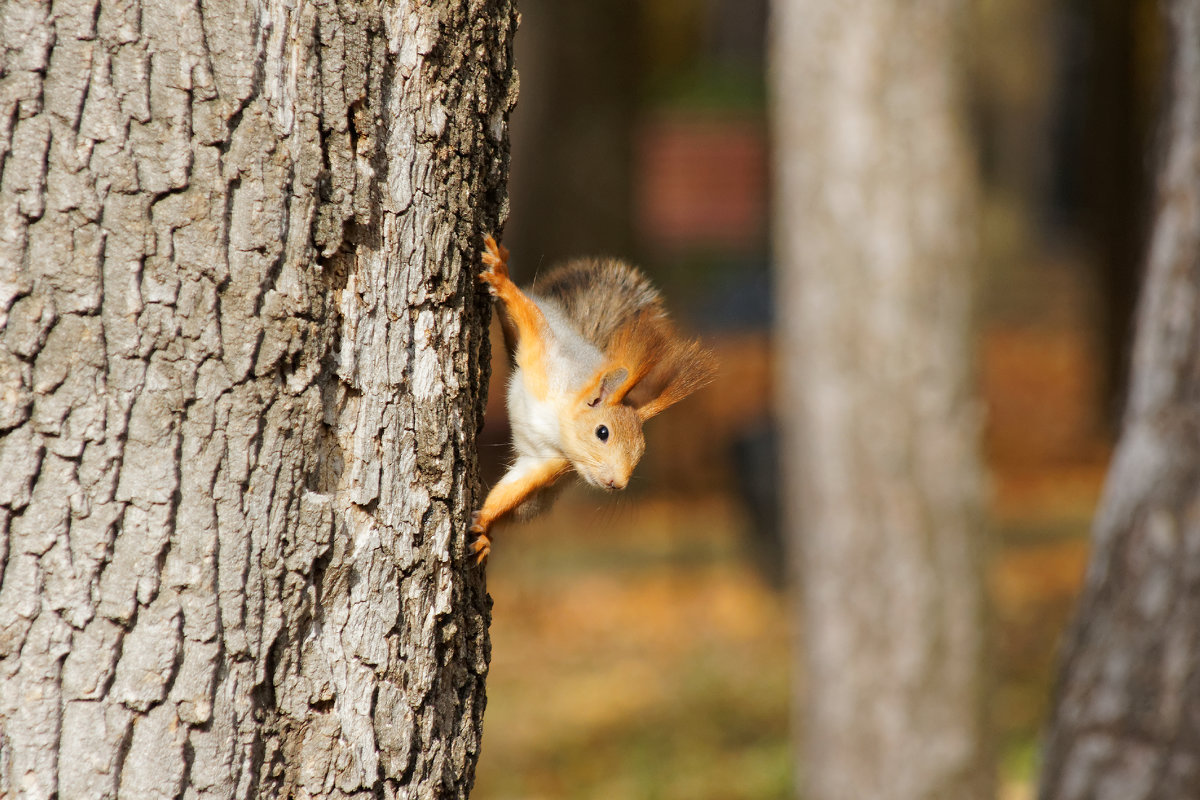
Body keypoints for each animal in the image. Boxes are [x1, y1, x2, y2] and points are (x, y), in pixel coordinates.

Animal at [468, 236, 710, 563]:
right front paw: (501, 276)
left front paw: (483, 523)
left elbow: (514, 488)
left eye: (642, 450)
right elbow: (529, 316)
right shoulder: (544, 357)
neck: (556, 422)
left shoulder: (546, 460)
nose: (617, 484)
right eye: (602, 432)